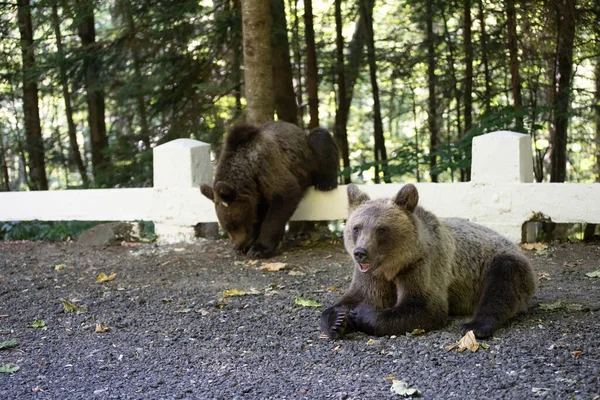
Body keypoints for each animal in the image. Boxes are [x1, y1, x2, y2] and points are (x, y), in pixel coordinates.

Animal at [199, 120, 336, 258]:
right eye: (226, 227)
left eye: (233, 224)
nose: (237, 245)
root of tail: (298, 128)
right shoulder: (257, 194)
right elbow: (259, 214)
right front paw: (250, 244)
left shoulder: (267, 166)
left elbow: (284, 197)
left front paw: (259, 248)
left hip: (309, 154)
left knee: (319, 138)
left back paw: (326, 183)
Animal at [322, 184, 536, 338]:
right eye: (356, 228)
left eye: (381, 229)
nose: (360, 252)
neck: (393, 266)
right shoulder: (371, 275)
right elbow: (357, 296)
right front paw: (338, 320)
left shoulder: (422, 265)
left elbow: (424, 307)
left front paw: (361, 314)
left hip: (499, 262)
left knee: (501, 288)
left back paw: (475, 326)